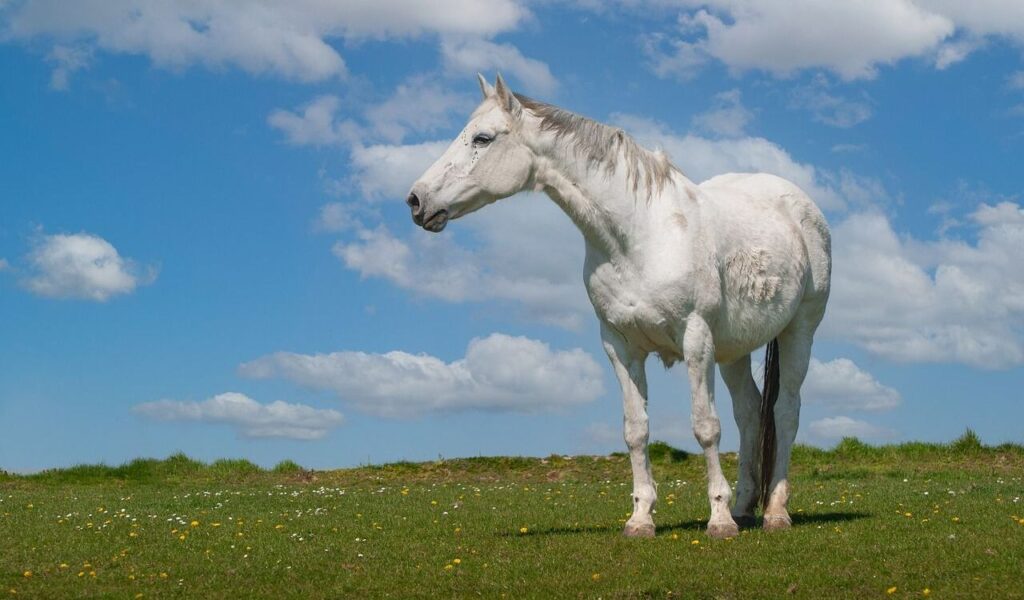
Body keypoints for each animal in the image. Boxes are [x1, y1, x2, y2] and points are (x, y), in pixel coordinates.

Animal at [406, 74, 831, 539]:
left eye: (482, 138)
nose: (416, 200)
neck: (638, 236)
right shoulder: (620, 346)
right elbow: (636, 430)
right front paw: (641, 518)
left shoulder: (696, 339)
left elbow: (705, 426)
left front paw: (718, 521)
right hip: (733, 350)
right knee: (751, 414)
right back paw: (744, 508)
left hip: (799, 332)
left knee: (785, 412)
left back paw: (774, 511)